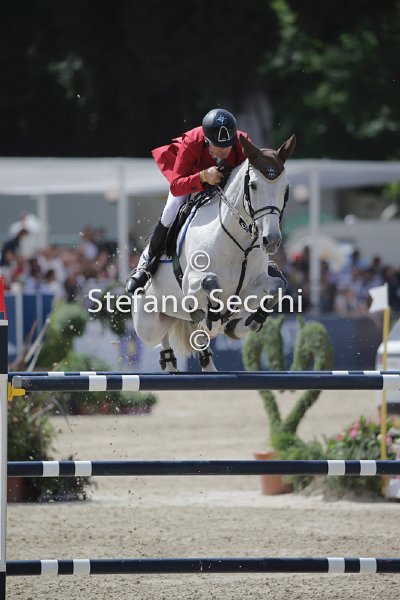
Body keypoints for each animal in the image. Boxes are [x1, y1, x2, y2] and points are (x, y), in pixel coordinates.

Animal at [131, 134, 295, 371]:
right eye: (253, 186)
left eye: (285, 189)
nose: (271, 240)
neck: (240, 245)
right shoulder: (190, 283)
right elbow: (210, 282)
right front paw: (214, 320)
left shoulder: (252, 288)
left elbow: (278, 287)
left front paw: (242, 325)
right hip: (148, 325)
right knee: (160, 337)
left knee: (197, 343)